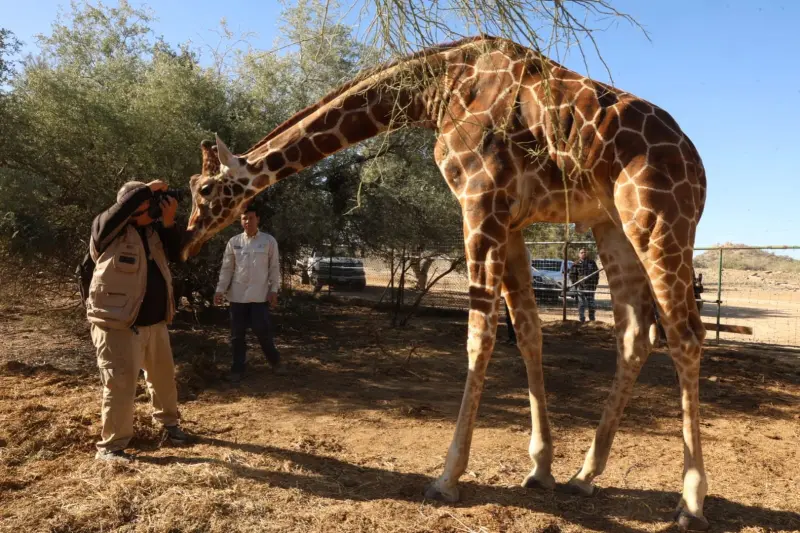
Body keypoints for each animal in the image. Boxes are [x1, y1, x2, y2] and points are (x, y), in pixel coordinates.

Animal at [181, 36, 709, 531]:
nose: (187, 239)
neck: (436, 90)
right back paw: (584, 476)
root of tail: (698, 165)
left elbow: (480, 336)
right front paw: (541, 468)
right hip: (610, 224)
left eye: (205, 189)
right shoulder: (511, 221)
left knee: (686, 334)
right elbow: (529, 333)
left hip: (659, 219)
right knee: (636, 332)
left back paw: (691, 502)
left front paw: (447, 477)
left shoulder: (480, 201)